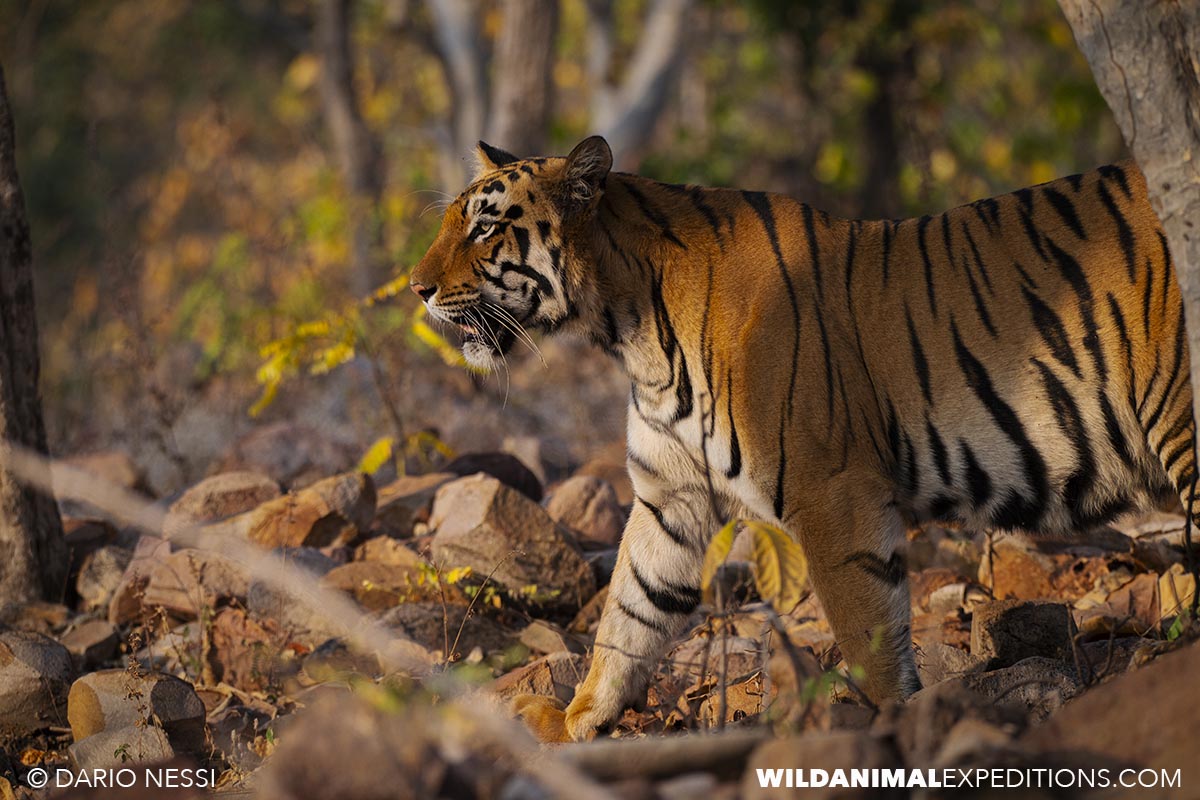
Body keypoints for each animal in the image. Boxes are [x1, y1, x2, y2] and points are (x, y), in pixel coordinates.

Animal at [409, 135, 1193, 743]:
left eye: (485, 229)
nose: (415, 288)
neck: (627, 327)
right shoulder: (672, 496)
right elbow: (629, 609)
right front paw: (578, 719)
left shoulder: (832, 492)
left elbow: (865, 630)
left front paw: (893, 728)